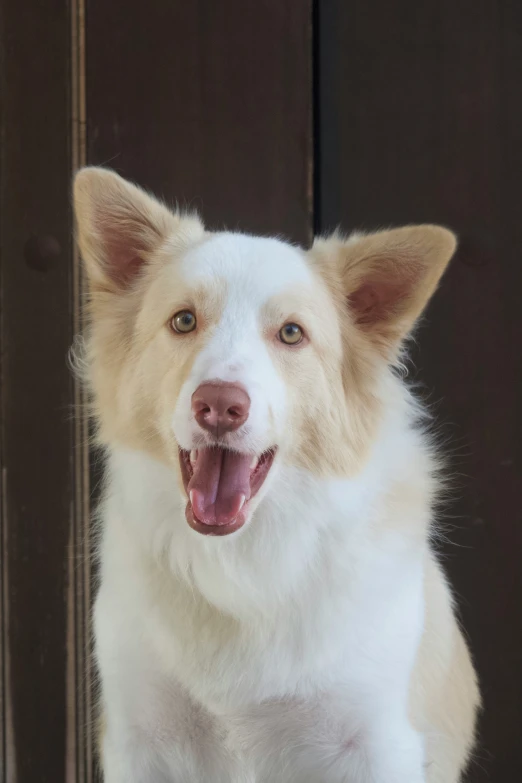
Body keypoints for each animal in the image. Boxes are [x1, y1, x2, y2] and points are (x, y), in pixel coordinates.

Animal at [72, 168, 476, 780]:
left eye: (291, 334)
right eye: (184, 320)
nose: (219, 405)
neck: (242, 568)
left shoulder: (376, 743)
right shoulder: (139, 736)